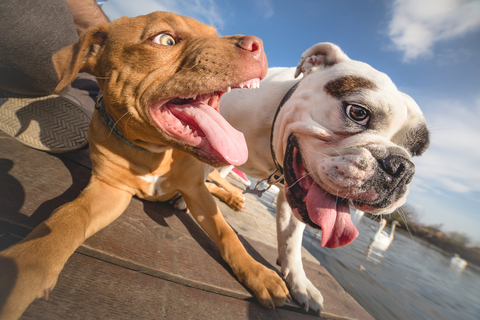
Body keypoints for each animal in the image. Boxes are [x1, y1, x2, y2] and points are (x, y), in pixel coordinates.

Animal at [0, 11, 288, 318]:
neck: (155, 150)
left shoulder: (196, 189)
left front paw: (259, 273)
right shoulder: (110, 190)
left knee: (218, 183)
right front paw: (26, 264)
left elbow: (227, 234)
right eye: (165, 39)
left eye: (214, 34)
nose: (257, 44)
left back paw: (233, 198)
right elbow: (69, 216)